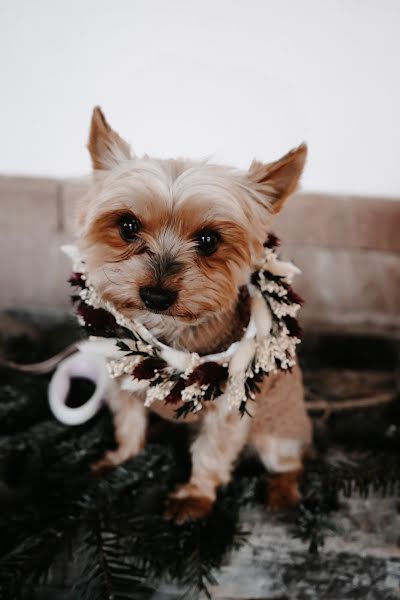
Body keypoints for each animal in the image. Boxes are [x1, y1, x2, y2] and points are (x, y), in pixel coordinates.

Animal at [75, 106, 312, 520]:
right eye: (127, 225)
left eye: (209, 240)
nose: (155, 294)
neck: (168, 334)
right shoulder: (124, 380)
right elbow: (128, 422)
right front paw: (121, 458)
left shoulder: (229, 406)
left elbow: (211, 452)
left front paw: (194, 496)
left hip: (277, 431)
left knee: (289, 463)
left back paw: (281, 493)